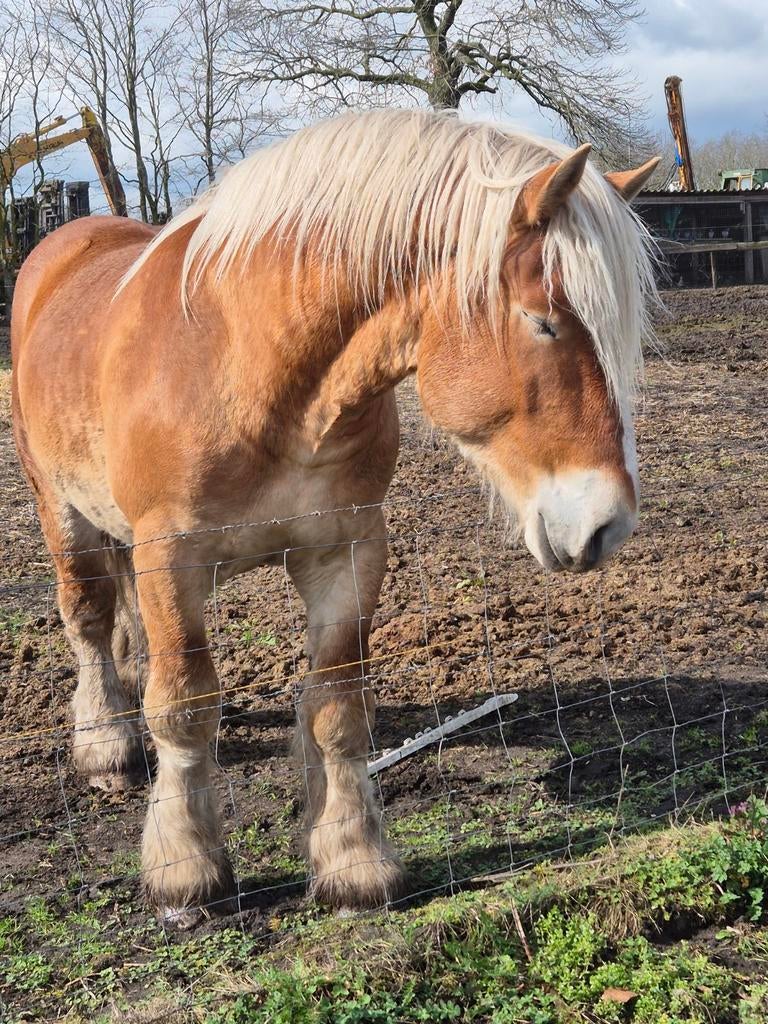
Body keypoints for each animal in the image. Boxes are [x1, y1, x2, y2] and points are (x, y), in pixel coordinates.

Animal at [11, 109, 659, 927]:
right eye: (542, 322)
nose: (609, 523)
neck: (247, 367)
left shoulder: (349, 551)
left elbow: (337, 707)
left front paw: (353, 860)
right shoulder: (171, 556)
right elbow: (184, 703)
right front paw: (185, 870)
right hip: (60, 507)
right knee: (90, 617)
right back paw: (106, 742)